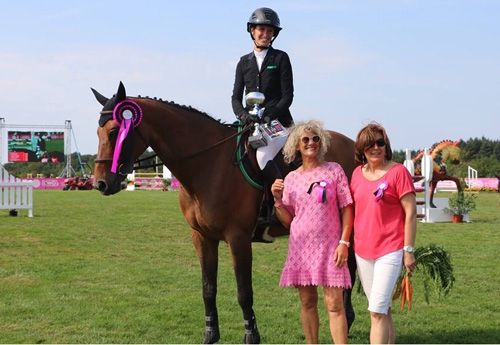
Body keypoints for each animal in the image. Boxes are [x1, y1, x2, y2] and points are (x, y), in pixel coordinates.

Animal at [90, 82, 356, 342]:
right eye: (98, 133)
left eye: (114, 132)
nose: (101, 184)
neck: (209, 164)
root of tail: (351, 143)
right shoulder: (202, 237)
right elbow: (208, 288)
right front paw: (210, 334)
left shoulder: (238, 238)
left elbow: (244, 292)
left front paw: (251, 335)